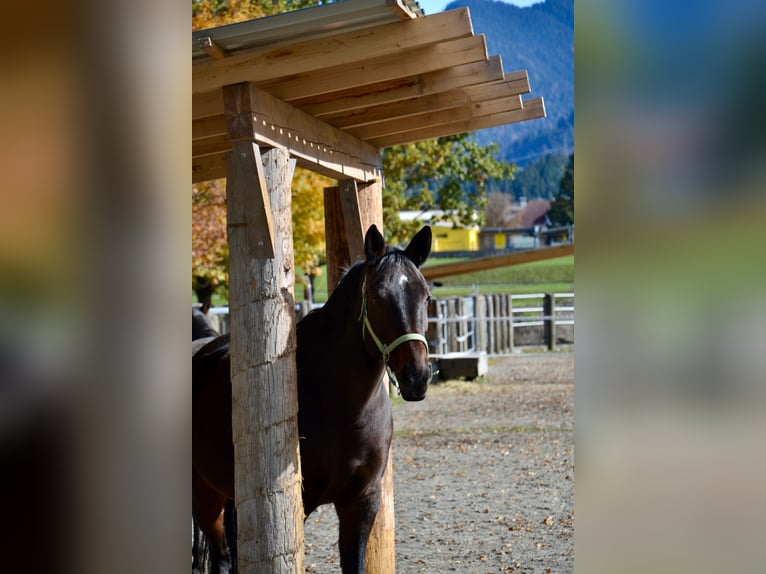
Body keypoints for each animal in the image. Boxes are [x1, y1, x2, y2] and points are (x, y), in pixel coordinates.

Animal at [194, 223, 432, 572]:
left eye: (426, 297)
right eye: (377, 296)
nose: (417, 376)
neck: (343, 409)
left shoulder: (361, 502)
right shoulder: (301, 503)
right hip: (205, 495)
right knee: (222, 556)